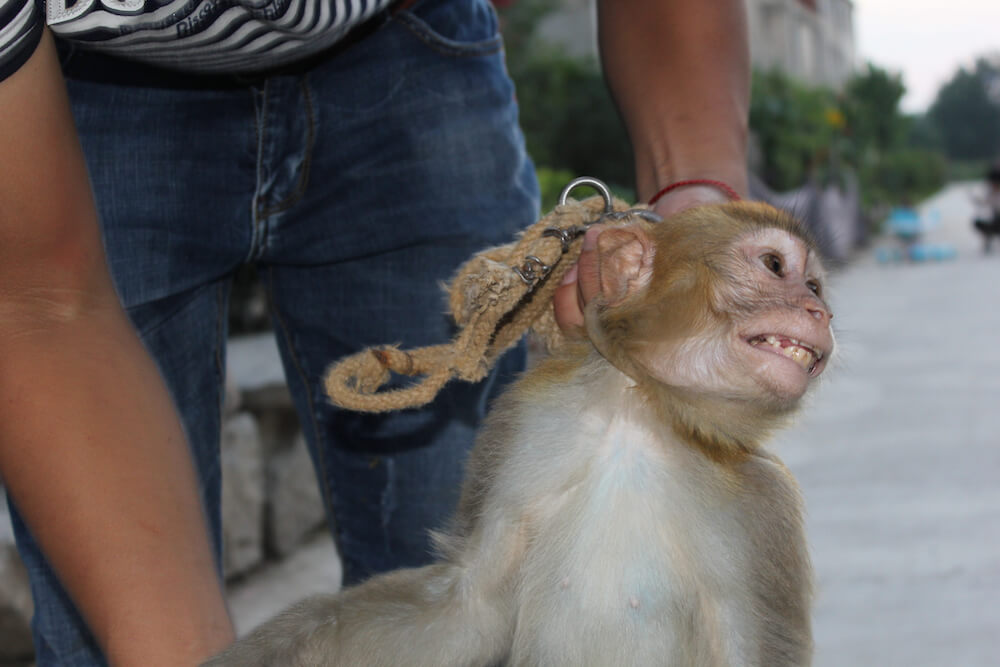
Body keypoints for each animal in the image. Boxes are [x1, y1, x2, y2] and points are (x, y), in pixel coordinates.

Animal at [205, 201, 836, 664]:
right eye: (775, 266)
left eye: (814, 286)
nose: (819, 312)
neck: (641, 417)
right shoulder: (528, 421)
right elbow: (468, 607)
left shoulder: (763, 509)